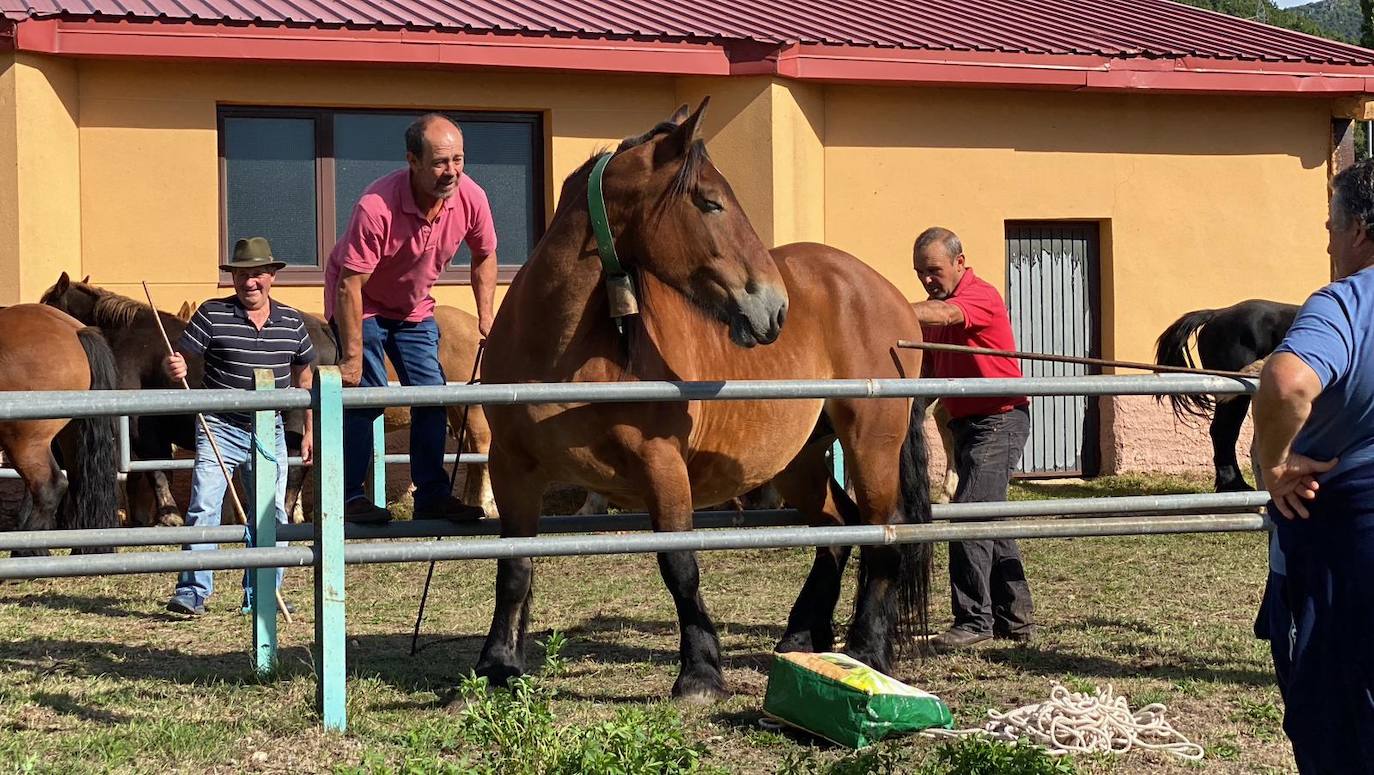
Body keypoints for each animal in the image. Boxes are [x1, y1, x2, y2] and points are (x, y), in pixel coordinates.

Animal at [472, 99, 934, 698]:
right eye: (711, 202)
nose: (775, 309)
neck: (557, 351)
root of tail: (888, 294)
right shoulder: (512, 469)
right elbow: (514, 569)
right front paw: (497, 666)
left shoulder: (662, 465)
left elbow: (680, 566)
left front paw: (699, 672)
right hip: (800, 459)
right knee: (838, 528)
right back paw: (801, 638)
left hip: (871, 442)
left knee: (883, 532)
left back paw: (868, 650)